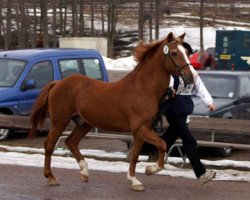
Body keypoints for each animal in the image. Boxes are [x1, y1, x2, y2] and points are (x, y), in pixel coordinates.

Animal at [29, 32, 196, 191]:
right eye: (174, 53)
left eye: (187, 52)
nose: (192, 76)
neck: (143, 89)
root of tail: (58, 83)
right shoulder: (140, 129)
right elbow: (161, 144)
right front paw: (150, 169)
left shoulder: (142, 130)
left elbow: (135, 155)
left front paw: (134, 181)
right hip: (60, 121)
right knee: (50, 144)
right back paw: (51, 177)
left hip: (84, 123)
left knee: (71, 142)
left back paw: (84, 173)